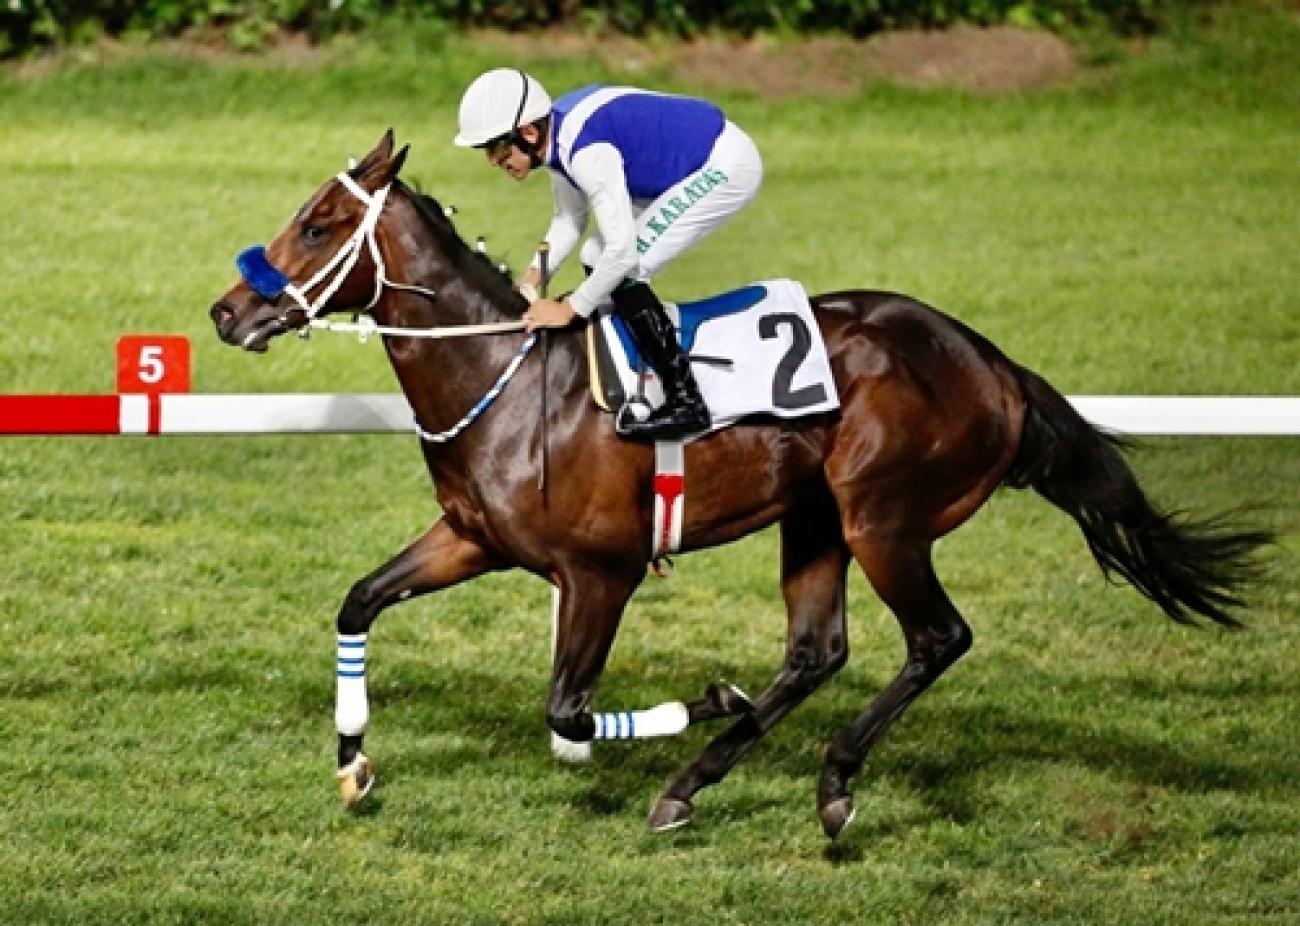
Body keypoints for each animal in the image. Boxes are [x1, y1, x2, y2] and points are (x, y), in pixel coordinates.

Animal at [205, 132, 1268, 837]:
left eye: (320, 224)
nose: (226, 311)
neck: (507, 377)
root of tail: (994, 363)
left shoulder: (601, 572)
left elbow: (566, 707)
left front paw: (707, 698)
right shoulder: (471, 539)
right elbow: (359, 601)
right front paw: (353, 765)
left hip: (885, 518)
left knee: (937, 638)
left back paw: (830, 779)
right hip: (818, 518)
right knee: (816, 651)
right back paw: (694, 785)